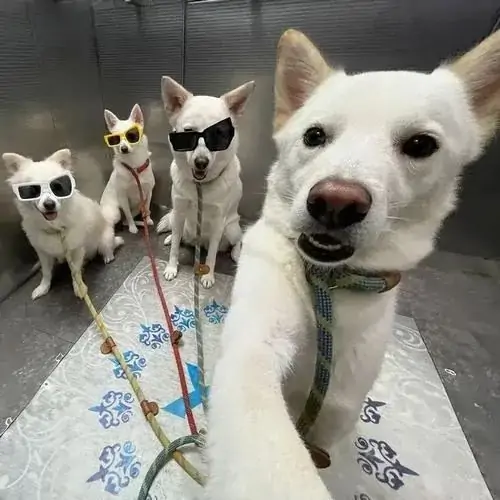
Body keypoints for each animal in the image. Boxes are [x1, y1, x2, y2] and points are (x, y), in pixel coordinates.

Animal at [3, 148, 123, 300]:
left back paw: (107, 256)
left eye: (57, 187)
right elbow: (46, 273)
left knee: (107, 248)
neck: (55, 228)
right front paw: (43, 287)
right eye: (32, 190)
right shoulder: (43, 253)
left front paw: (79, 287)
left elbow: (75, 272)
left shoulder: (77, 249)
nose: (49, 204)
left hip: (104, 240)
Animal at [100, 104, 155, 234]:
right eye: (115, 139)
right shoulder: (123, 197)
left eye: (132, 135)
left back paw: (142, 223)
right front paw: (132, 228)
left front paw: (148, 219)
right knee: (121, 220)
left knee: (126, 220)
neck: (134, 165)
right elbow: (129, 214)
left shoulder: (148, 193)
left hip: (138, 207)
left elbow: (147, 208)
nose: (123, 148)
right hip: (115, 213)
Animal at [156, 76, 255, 289]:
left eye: (218, 135)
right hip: (180, 220)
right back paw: (170, 237)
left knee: (237, 241)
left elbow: (211, 256)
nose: (201, 162)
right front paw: (171, 267)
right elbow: (175, 248)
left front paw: (208, 276)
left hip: (231, 228)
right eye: (188, 132)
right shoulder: (179, 211)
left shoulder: (218, 222)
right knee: (179, 236)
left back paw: (236, 253)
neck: (199, 187)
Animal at [205, 29, 500, 499]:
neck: (325, 286)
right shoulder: (255, 348)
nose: (336, 202)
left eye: (421, 145)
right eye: (314, 136)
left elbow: (324, 446)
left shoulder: (338, 408)